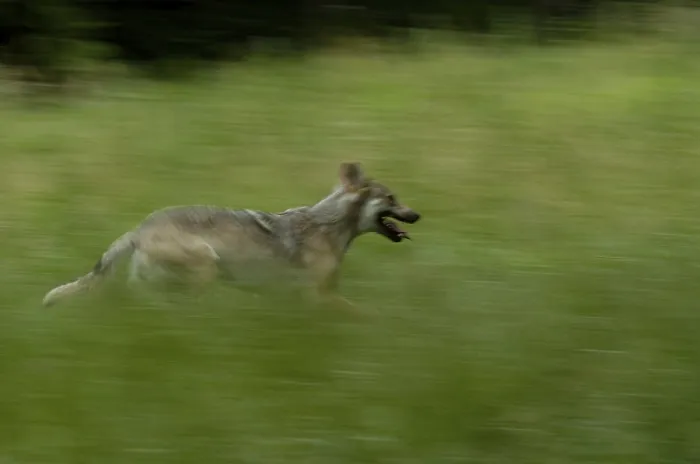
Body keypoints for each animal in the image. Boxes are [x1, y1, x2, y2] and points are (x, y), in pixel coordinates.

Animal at [42, 162, 421, 311]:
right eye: (391, 198)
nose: (417, 215)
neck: (330, 227)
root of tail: (138, 230)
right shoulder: (320, 297)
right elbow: (367, 314)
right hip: (206, 266)